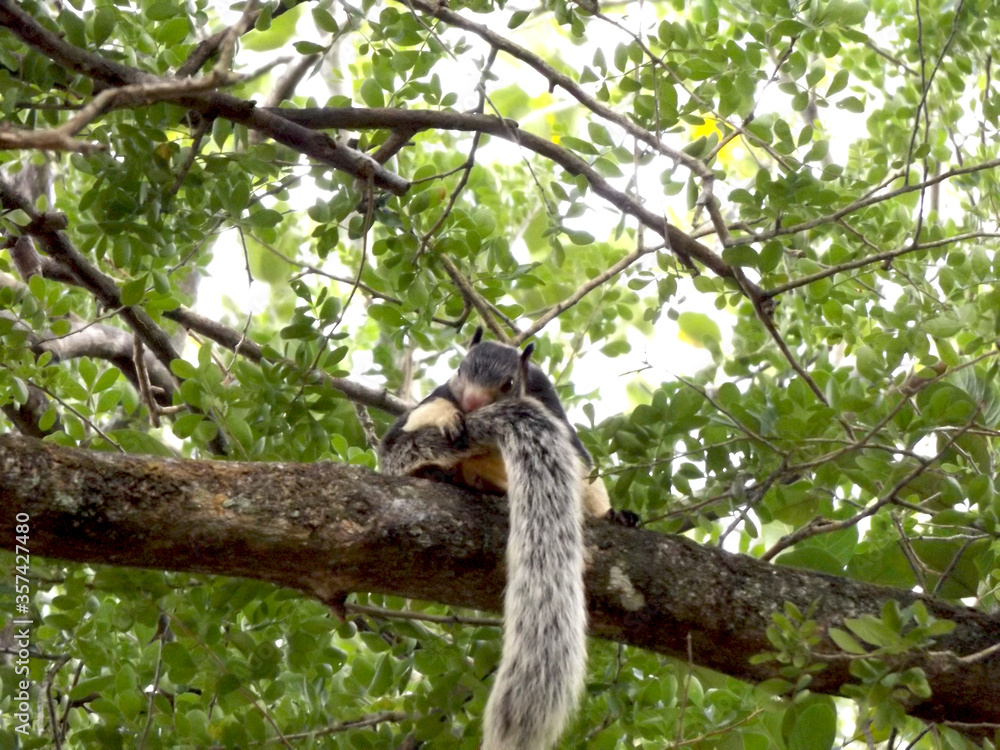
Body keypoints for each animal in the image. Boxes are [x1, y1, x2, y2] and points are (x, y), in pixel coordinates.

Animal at [379, 330, 636, 749]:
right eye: (461, 369)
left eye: (508, 383)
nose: (471, 404)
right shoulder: (432, 401)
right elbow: (408, 427)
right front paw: (449, 417)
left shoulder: (547, 399)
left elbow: (581, 463)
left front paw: (611, 513)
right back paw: (440, 473)